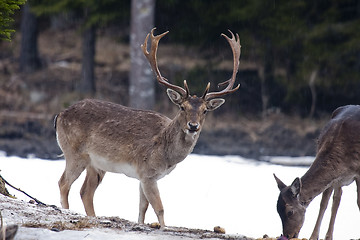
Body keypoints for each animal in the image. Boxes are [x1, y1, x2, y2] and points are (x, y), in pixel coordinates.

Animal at [55, 28, 242, 227]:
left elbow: (142, 208)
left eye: (205, 110)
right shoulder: (147, 173)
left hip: (96, 164)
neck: (166, 155)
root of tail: (60, 115)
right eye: (182, 107)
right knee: (63, 183)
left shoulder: (144, 176)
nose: (193, 126)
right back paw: (67, 211)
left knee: (86, 192)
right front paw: (164, 227)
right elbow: (159, 208)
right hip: (74, 153)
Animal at [274, 105, 360, 240]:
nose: (288, 235)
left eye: (290, 212)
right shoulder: (334, 177)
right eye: (277, 210)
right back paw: (329, 236)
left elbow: (359, 202)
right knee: (337, 198)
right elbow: (323, 203)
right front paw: (313, 236)